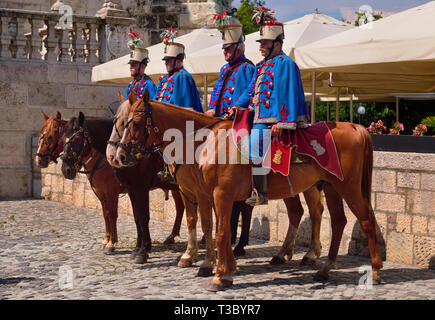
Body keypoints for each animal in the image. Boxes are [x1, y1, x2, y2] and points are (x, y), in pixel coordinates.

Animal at [115, 91, 382, 292]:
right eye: (122, 123)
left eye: (135, 123)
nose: (119, 156)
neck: (204, 143)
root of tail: (355, 127)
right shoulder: (201, 194)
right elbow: (207, 226)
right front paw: (216, 265)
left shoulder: (219, 195)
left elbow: (221, 232)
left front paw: (219, 274)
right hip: (330, 187)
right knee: (335, 221)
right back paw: (322, 267)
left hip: (346, 187)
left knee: (365, 219)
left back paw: (374, 270)